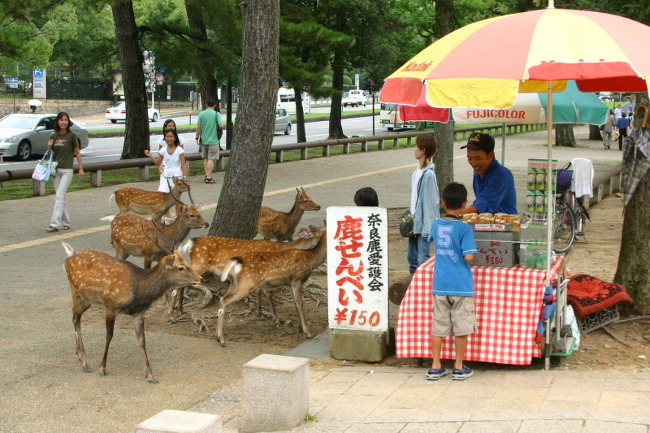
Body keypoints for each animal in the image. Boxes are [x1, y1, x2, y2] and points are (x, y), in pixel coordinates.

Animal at [61, 236, 202, 382]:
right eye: (180, 268)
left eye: (187, 262)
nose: (201, 278)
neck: (138, 291)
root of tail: (68, 258)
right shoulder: (111, 306)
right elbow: (109, 336)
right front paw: (102, 368)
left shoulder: (138, 313)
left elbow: (142, 341)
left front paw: (150, 375)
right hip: (76, 292)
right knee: (75, 318)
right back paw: (85, 362)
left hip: (88, 300)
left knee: (74, 315)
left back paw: (79, 354)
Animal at [172, 226, 322, 318]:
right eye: (319, 234)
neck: (279, 249)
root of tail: (191, 242)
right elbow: (267, 293)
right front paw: (270, 316)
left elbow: (259, 291)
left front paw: (259, 313)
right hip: (200, 263)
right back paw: (175, 313)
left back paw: (180, 309)